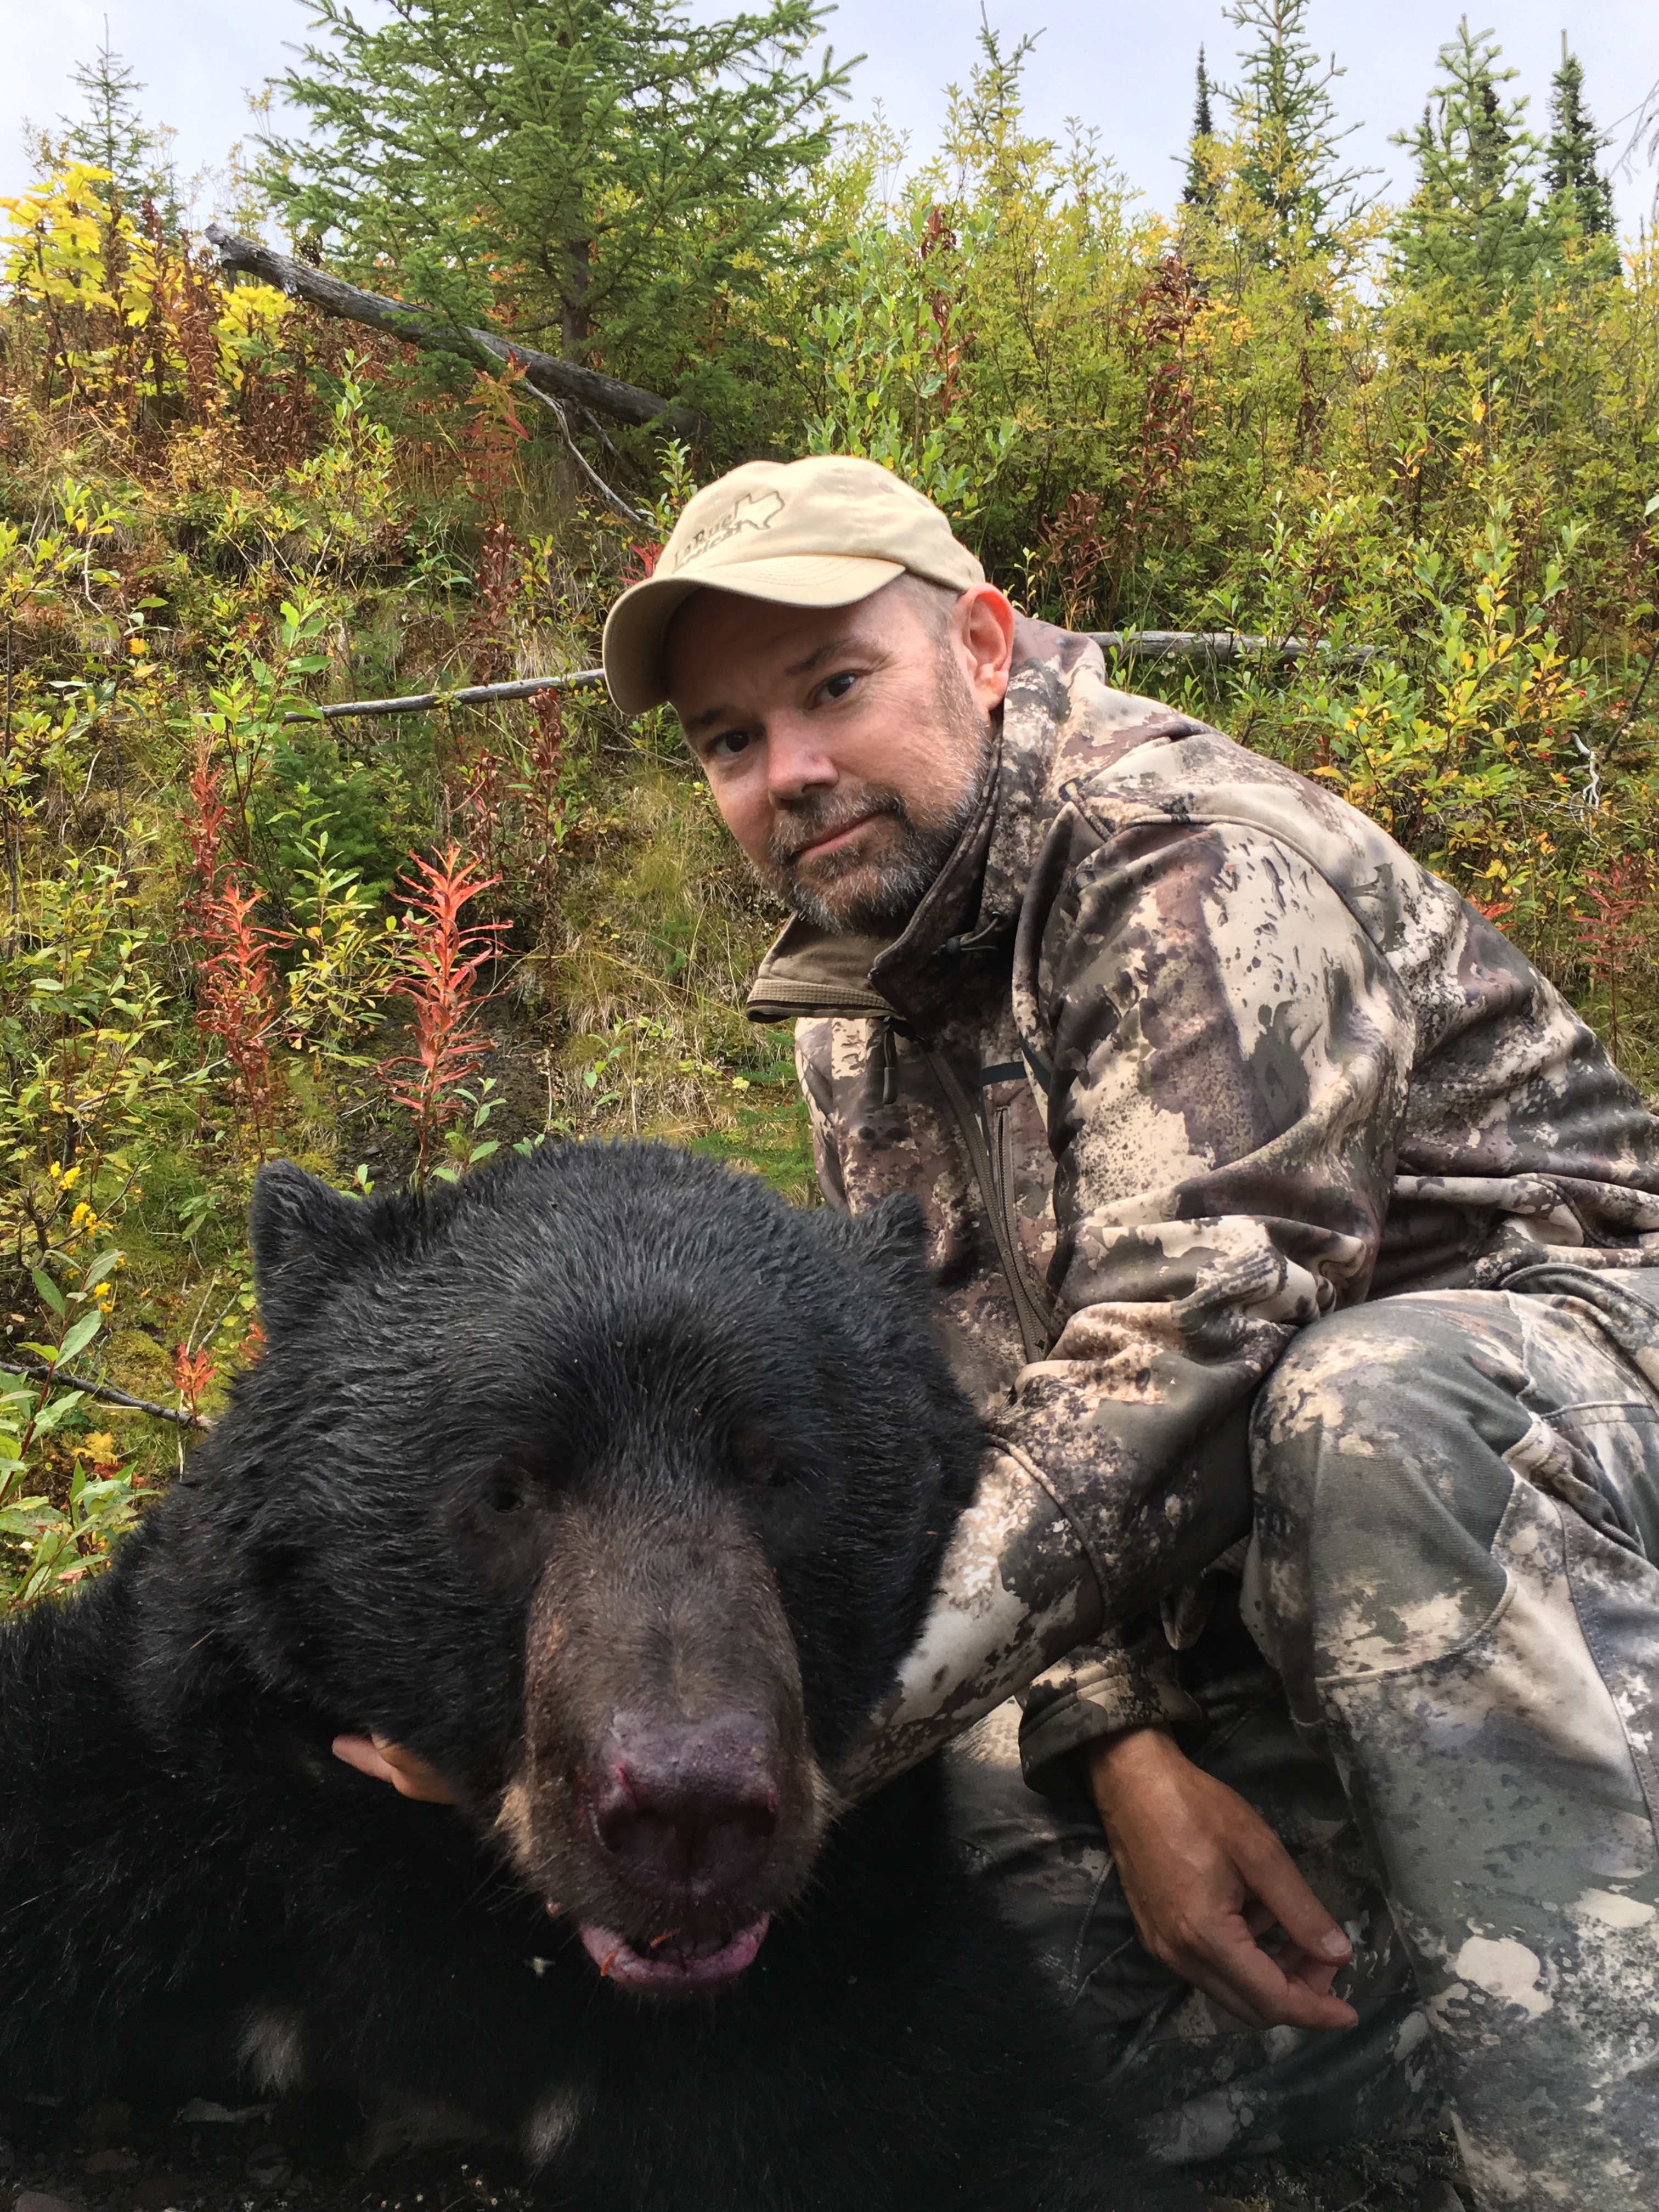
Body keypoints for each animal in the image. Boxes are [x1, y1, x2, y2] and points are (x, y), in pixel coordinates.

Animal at [0, 1142, 1198, 2212]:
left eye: (780, 1471)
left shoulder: (864, 1979)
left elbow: (1004, 2129)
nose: (687, 1811)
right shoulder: (178, 1814)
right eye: (506, 1486)